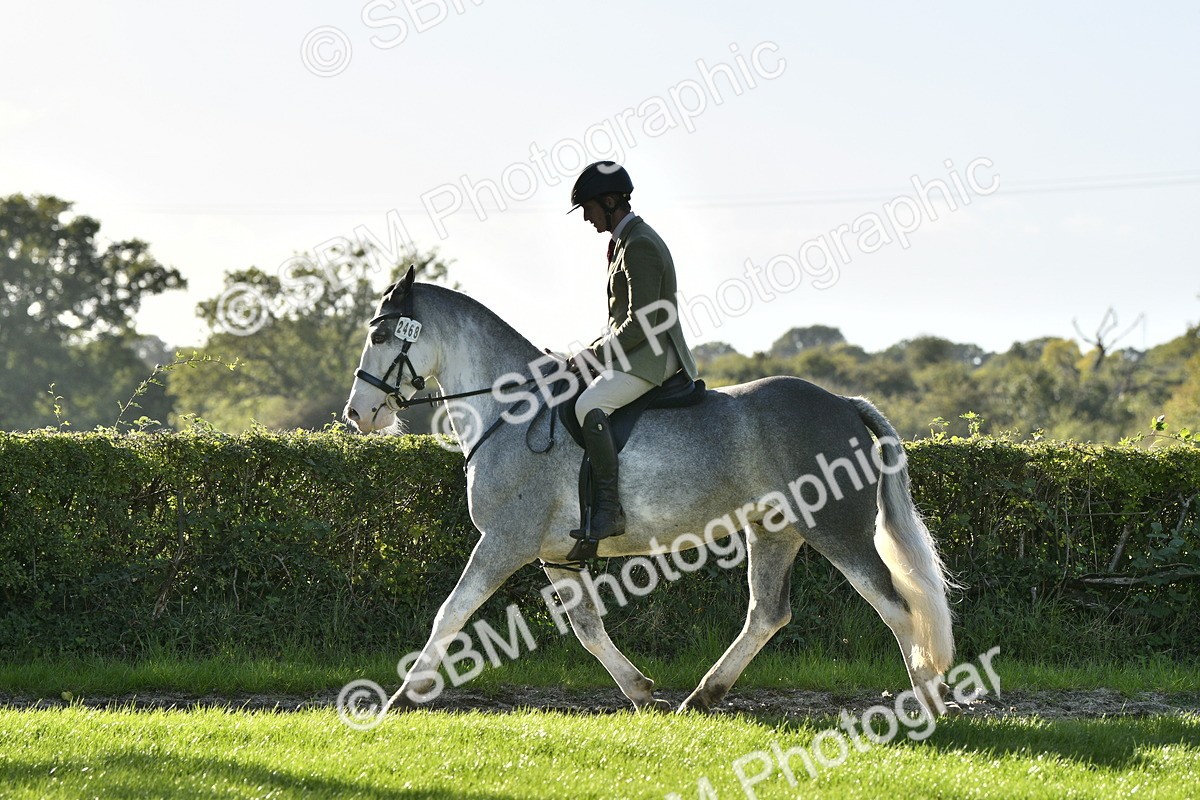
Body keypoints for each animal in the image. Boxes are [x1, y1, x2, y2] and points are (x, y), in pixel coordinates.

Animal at [343, 267, 959, 715]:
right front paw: (640, 691)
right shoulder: (555, 554)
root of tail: (842, 405)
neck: (511, 409)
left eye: (380, 334)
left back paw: (927, 707)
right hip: (775, 531)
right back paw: (703, 696)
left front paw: (402, 697)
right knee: (767, 613)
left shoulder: (503, 542)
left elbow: (450, 613)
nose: (357, 414)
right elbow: (587, 627)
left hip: (837, 531)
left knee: (895, 606)